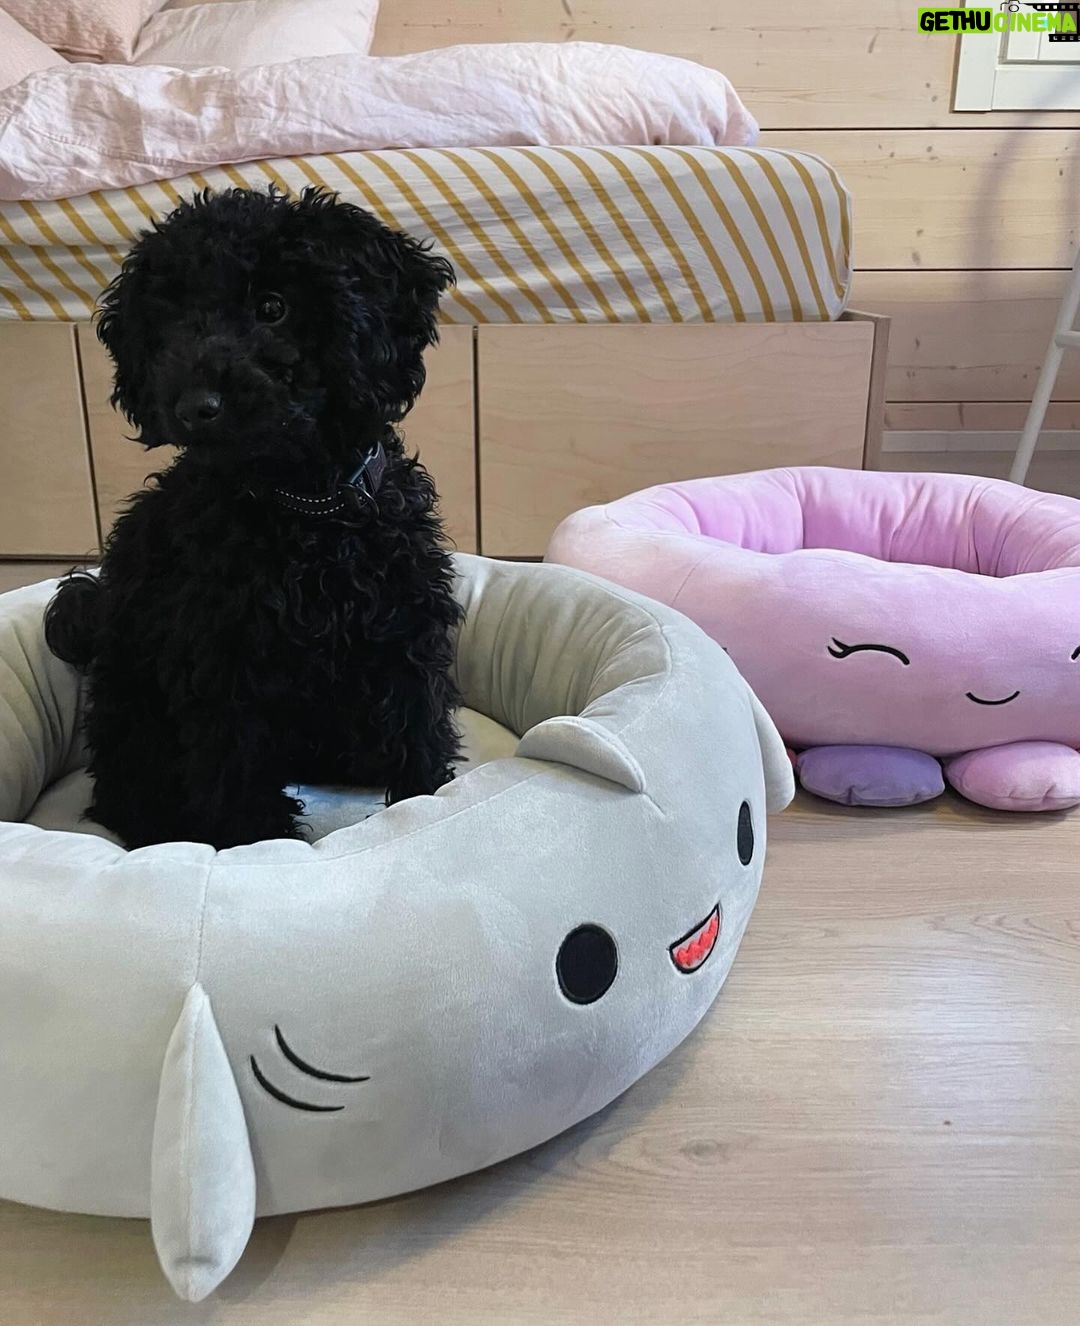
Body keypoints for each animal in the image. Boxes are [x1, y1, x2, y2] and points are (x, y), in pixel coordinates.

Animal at [45, 187, 463, 850]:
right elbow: (236, 787)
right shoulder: (223, 674)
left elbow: (418, 742)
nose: (194, 406)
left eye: (273, 307)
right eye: (168, 322)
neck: (305, 513)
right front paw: (260, 848)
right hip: (132, 710)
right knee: (124, 796)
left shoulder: (405, 639)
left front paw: (429, 812)